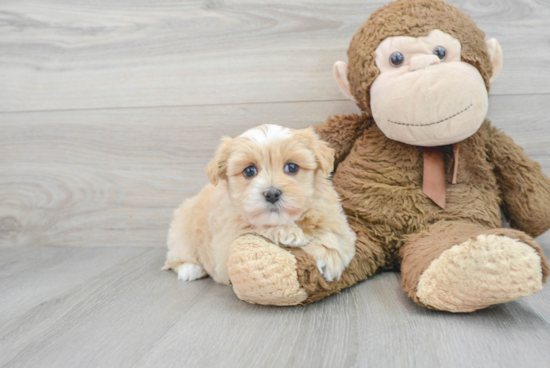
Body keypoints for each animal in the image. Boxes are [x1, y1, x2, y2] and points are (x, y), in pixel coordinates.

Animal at [163, 125, 358, 284]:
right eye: (249, 171)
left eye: (292, 167)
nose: (271, 193)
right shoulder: (225, 247)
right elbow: (254, 228)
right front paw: (287, 232)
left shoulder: (334, 218)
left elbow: (336, 235)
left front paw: (329, 259)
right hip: (182, 235)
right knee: (175, 258)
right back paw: (190, 268)